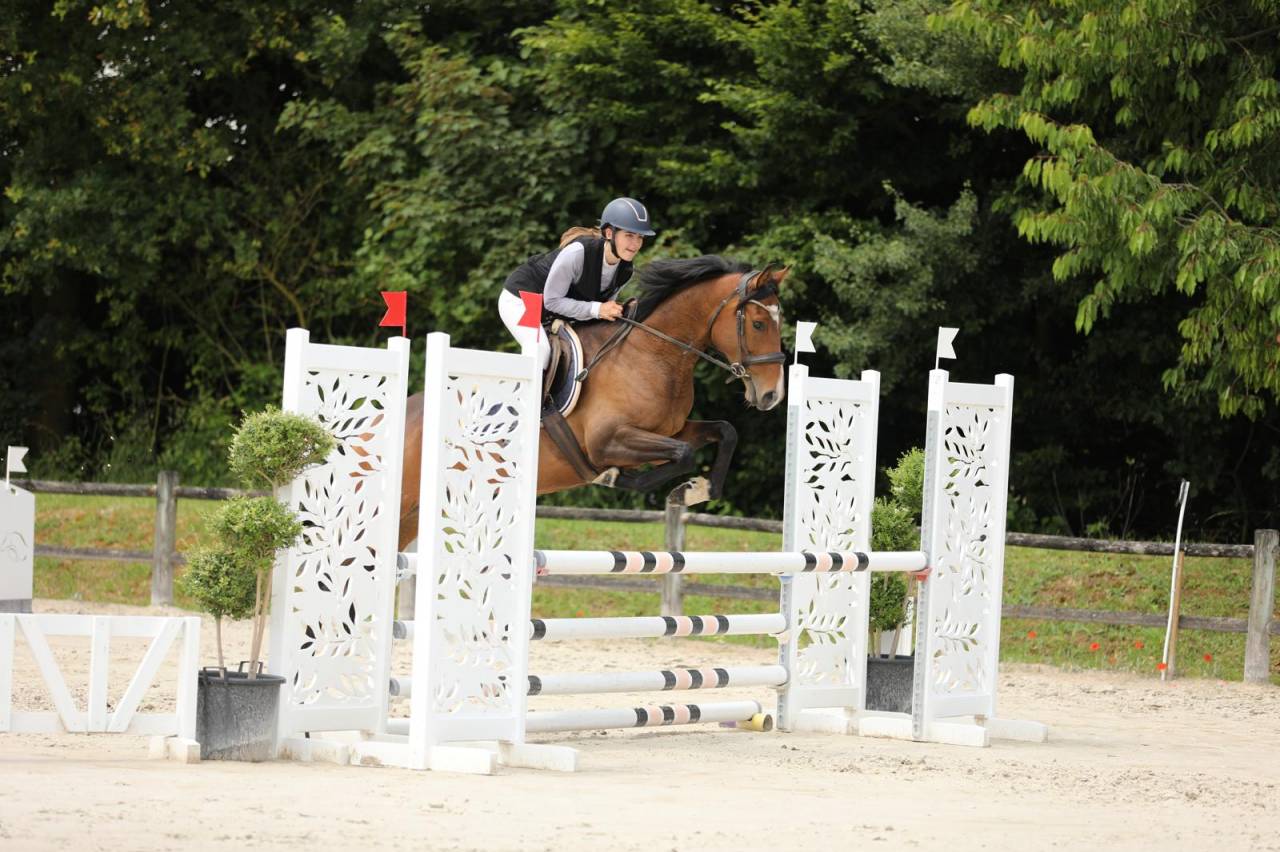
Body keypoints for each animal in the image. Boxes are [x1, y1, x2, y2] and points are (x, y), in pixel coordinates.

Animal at [397, 255, 788, 549]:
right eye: (757, 323)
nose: (772, 395)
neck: (653, 355)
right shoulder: (606, 442)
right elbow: (683, 454)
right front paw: (620, 479)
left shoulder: (671, 430)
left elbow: (724, 432)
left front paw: (695, 491)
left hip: (417, 512)